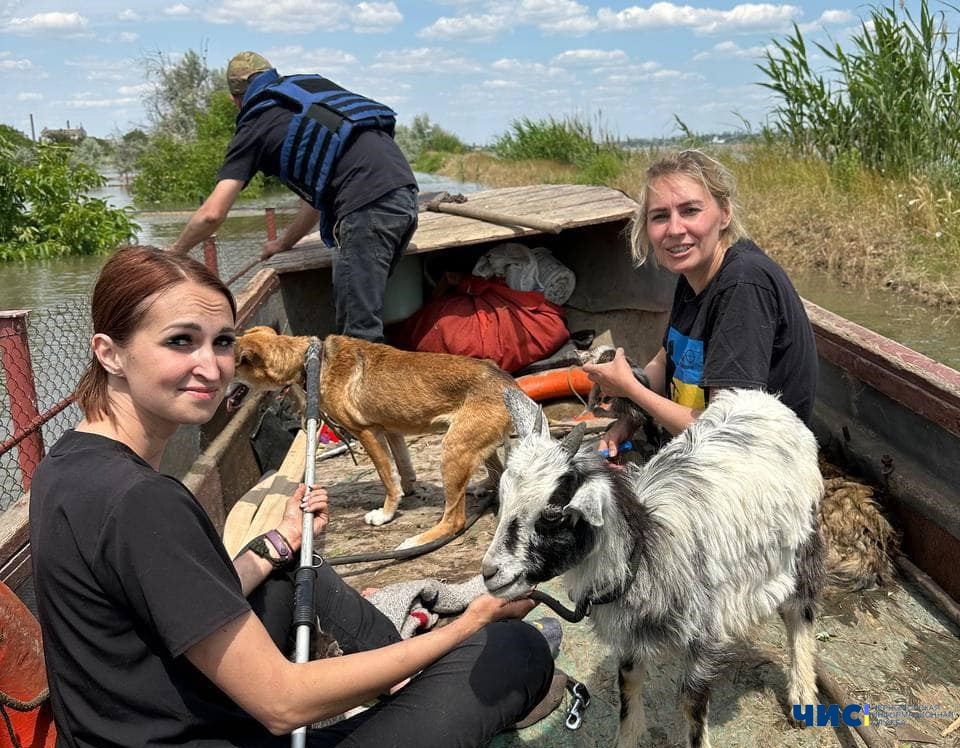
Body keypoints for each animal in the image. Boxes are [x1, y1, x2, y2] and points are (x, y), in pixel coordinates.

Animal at [226, 328, 520, 548]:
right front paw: (408, 490)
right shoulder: (391, 429)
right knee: (497, 472)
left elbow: (387, 477)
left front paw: (386, 514)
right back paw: (481, 485)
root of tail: (509, 384)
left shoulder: (367, 432)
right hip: (471, 443)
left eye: (231, 370)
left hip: (454, 448)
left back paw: (416, 541)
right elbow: (402, 467)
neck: (310, 361)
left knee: (455, 519)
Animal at [484, 388, 828, 744]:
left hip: (802, 542)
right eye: (501, 500)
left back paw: (802, 696)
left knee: (800, 610)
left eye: (552, 513)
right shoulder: (629, 633)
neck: (643, 553)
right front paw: (627, 739)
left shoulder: (704, 632)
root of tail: (765, 398)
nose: (489, 573)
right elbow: (628, 683)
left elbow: (692, 703)